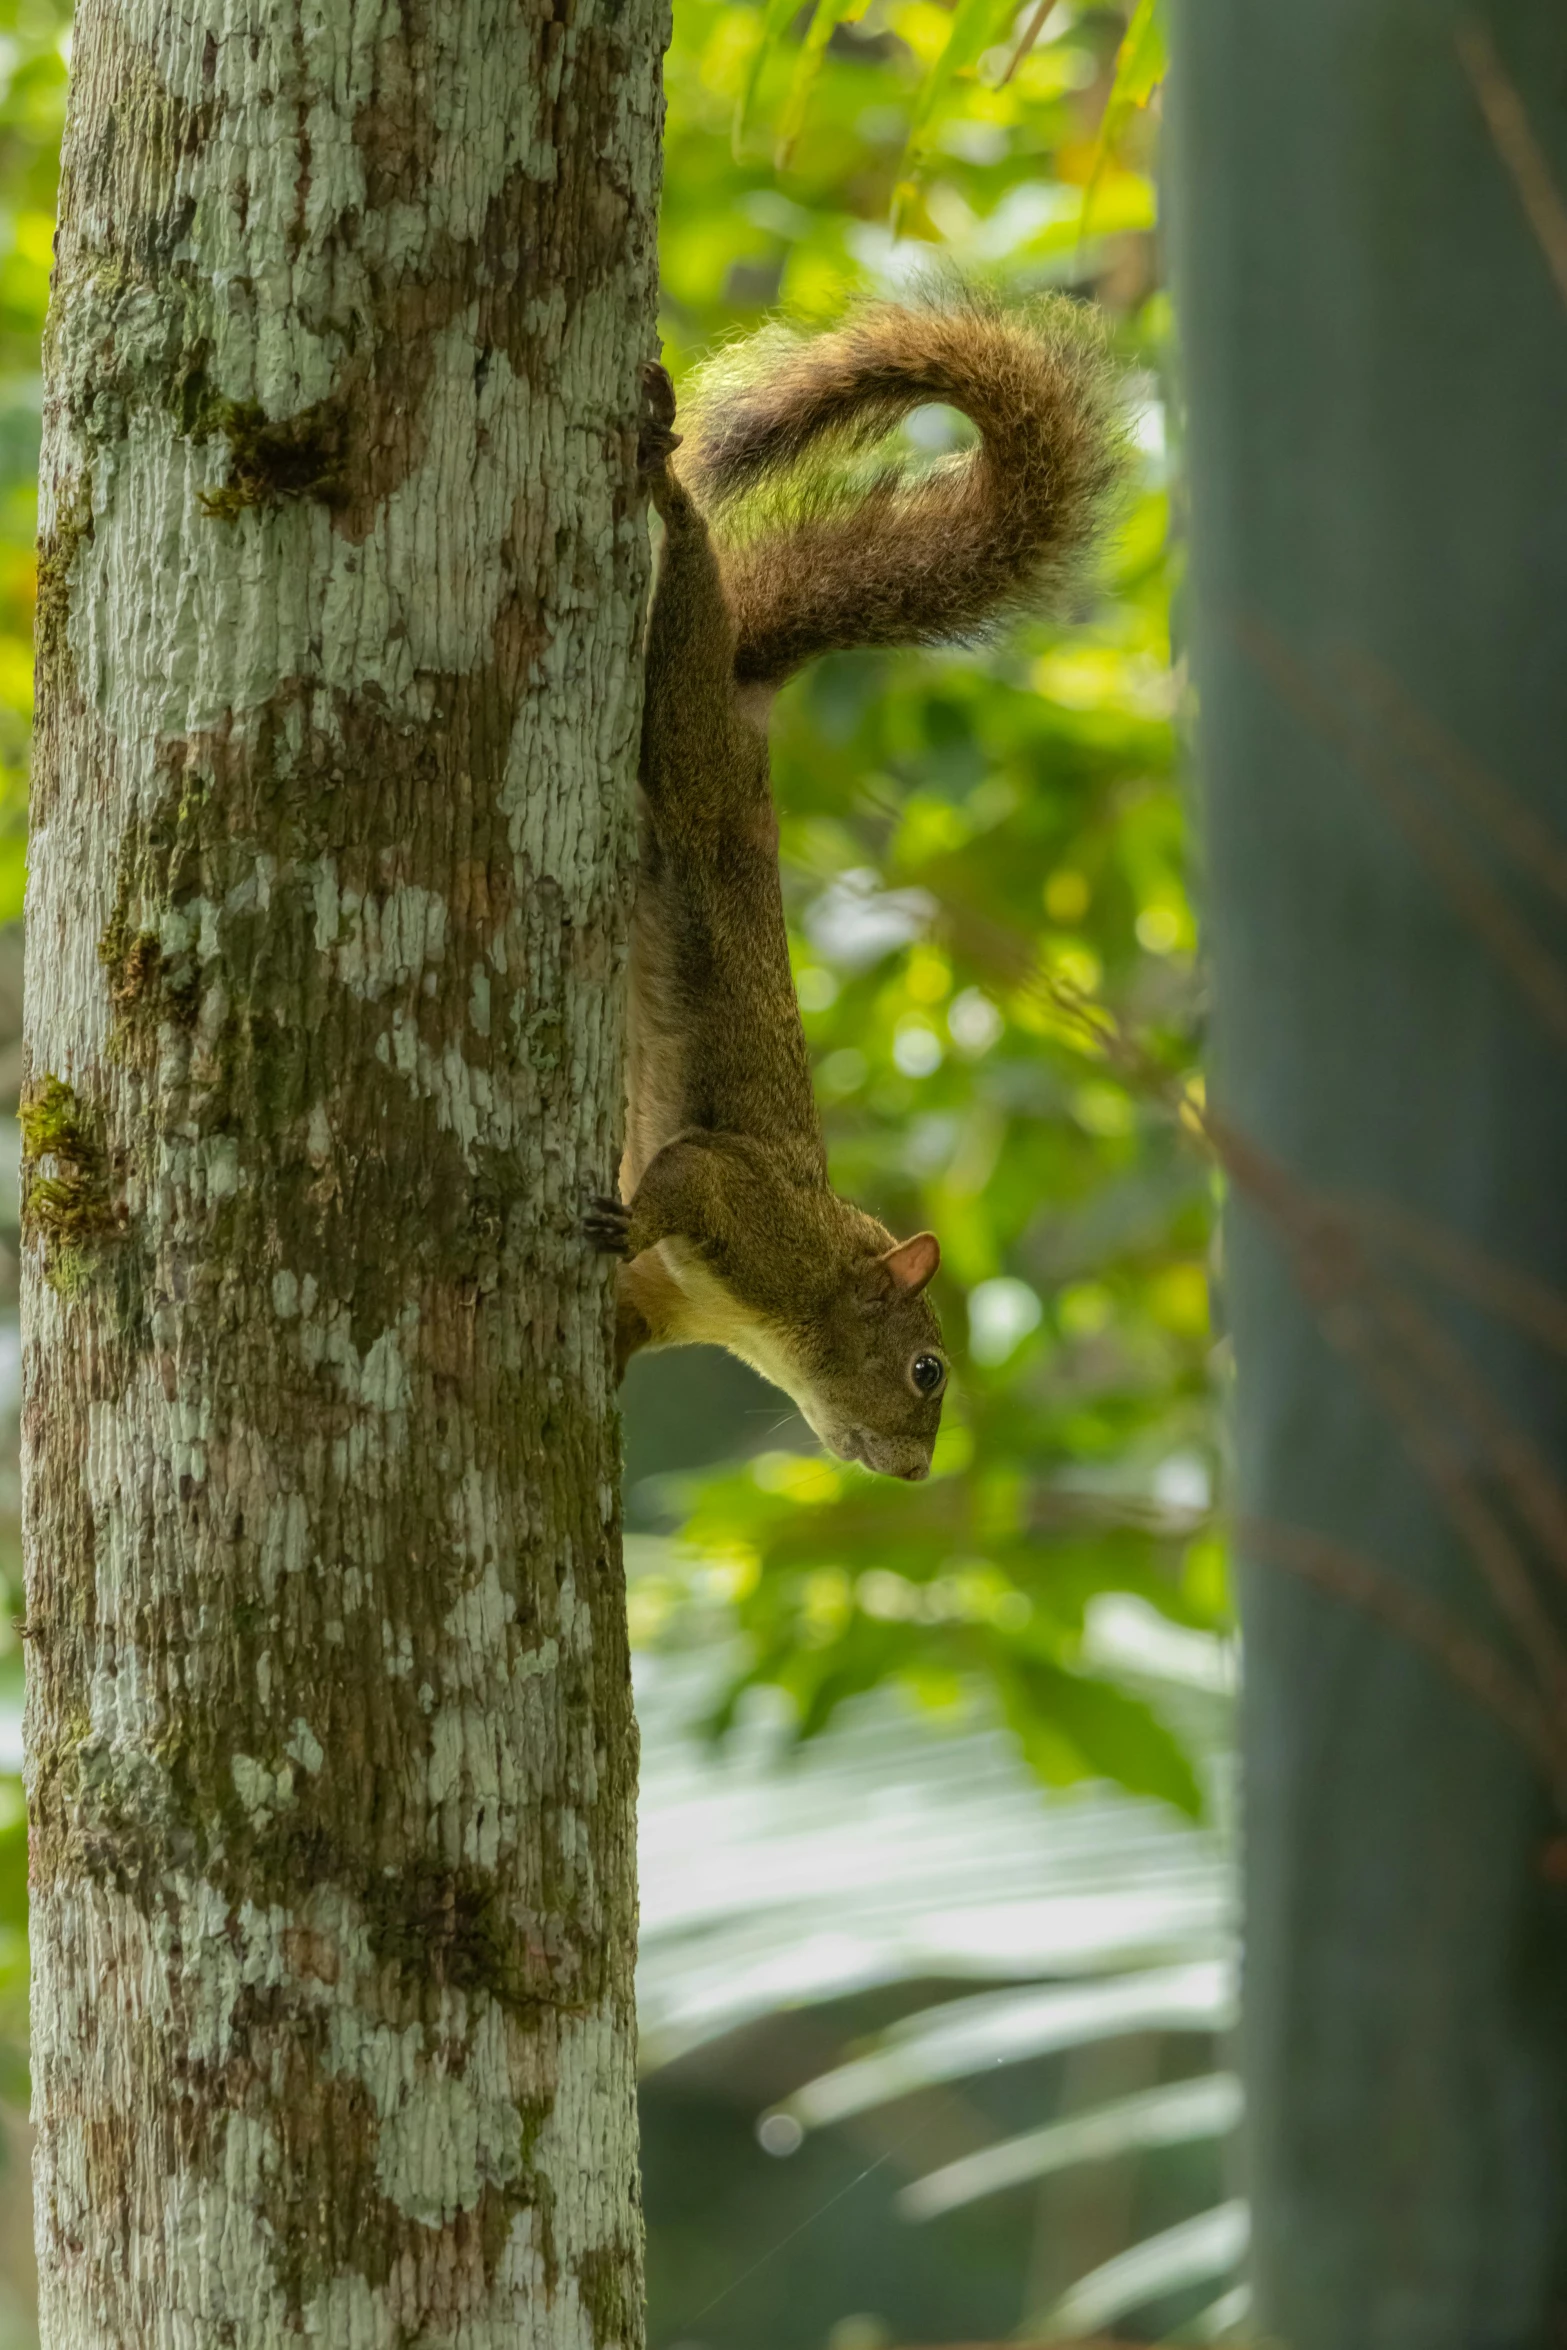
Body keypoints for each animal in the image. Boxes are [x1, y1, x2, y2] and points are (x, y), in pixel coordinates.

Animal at [587, 284, 1127, 1475]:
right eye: (925, 1371)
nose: (917, 1469)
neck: (773, 1314)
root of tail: (749, 694)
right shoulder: (747, 1207)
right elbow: (684, 1174)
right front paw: (625, 1218)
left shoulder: (675, 1294)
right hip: (690, 742)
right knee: (686, 574)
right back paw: (665, 480)